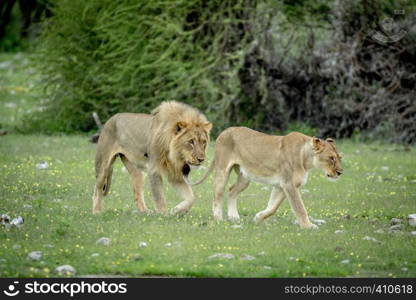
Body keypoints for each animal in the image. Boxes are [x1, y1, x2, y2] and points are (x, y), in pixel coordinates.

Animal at [187, 126, 342, 227]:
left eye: (339, 157)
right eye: (331, 158)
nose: (340, 172)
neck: (306, 159)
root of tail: (224, 131)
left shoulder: (281, 186)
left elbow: (273, 207)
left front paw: (258, 218)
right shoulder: (289, 185)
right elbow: (300, 208)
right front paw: (308, 226)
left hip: (245, 178)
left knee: (231, 191)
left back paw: (234, 217)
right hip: (222, 171)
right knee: (217, 196)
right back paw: (219, 219)